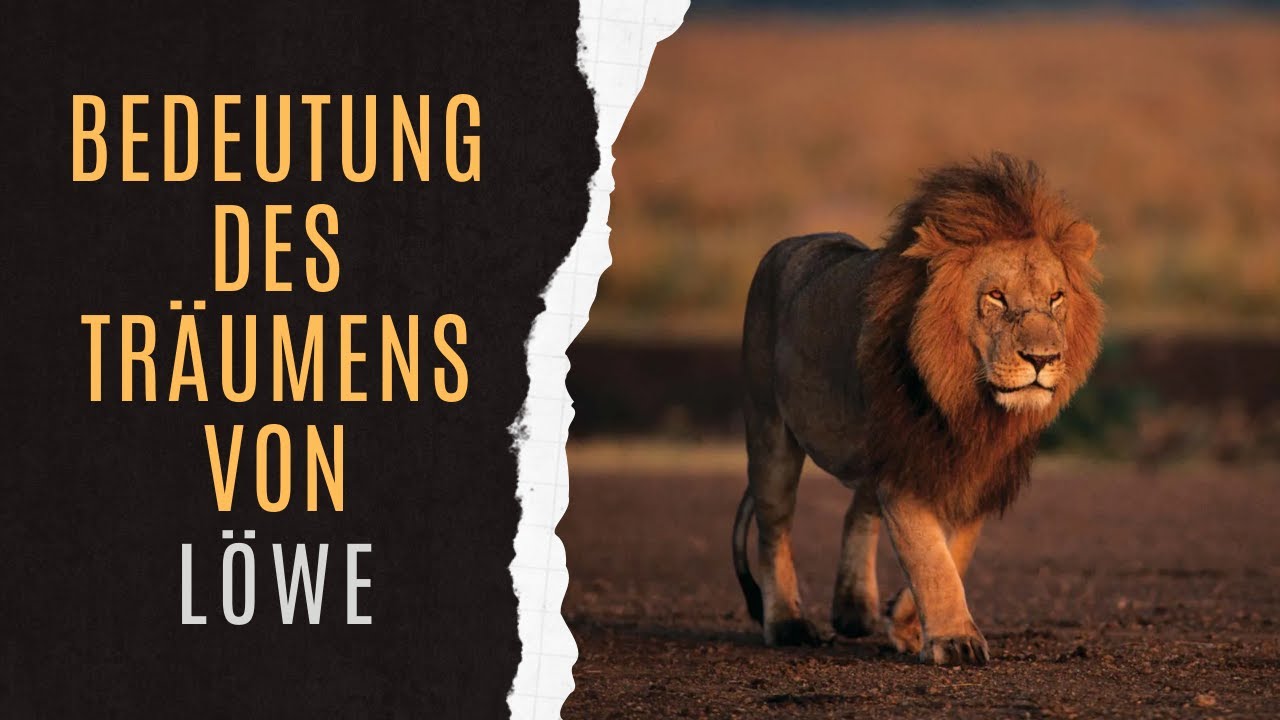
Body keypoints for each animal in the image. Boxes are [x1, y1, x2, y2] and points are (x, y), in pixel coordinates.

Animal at [731, 153, 1103, 665]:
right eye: (996, 296)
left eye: (1056, 298)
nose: (1043, 359)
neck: (969, 403)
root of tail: (790, 244)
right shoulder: (906, 461)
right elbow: (930, 556)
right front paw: (955, 639)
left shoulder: (975, 470)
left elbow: (954, 552)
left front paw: (907, 623)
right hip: (770, 430)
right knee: (775, 528)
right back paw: (788, 623)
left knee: (857, 510)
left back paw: (854, 610)